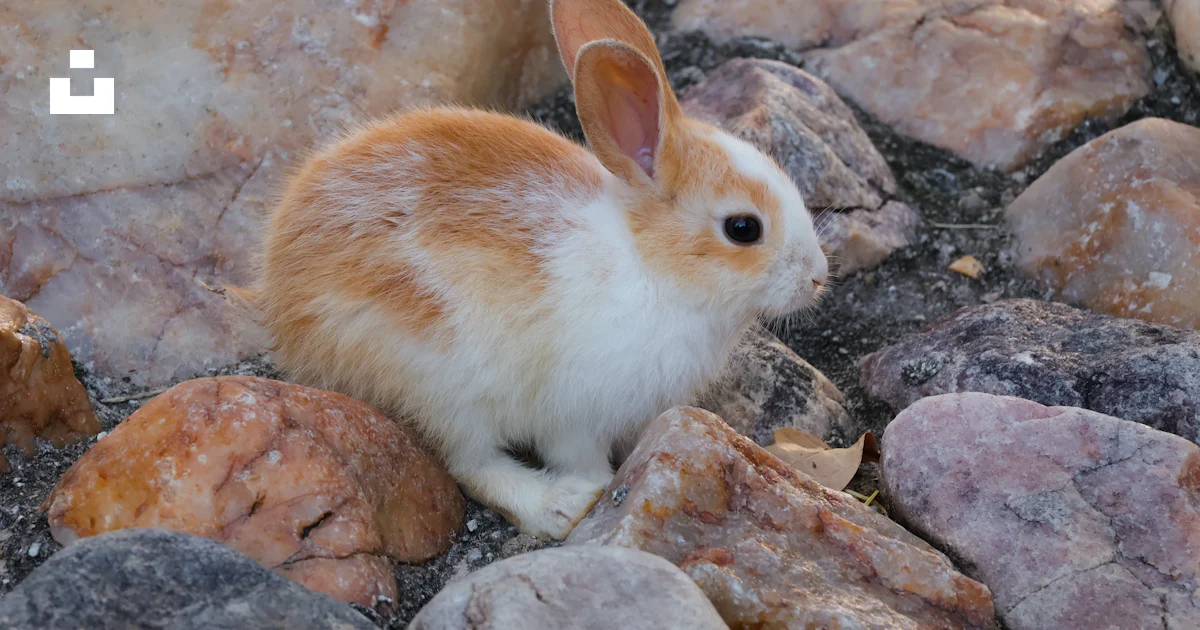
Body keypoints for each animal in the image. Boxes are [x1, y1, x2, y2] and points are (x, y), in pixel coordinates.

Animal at [243, 0, 829, 539]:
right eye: (743, 228)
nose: (818, 277)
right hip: (442, 384)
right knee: (470, 463)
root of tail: (280, 297)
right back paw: (559, 506)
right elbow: (573, 454)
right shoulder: (574, 413)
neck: (647, 264)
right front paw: (596, 485)